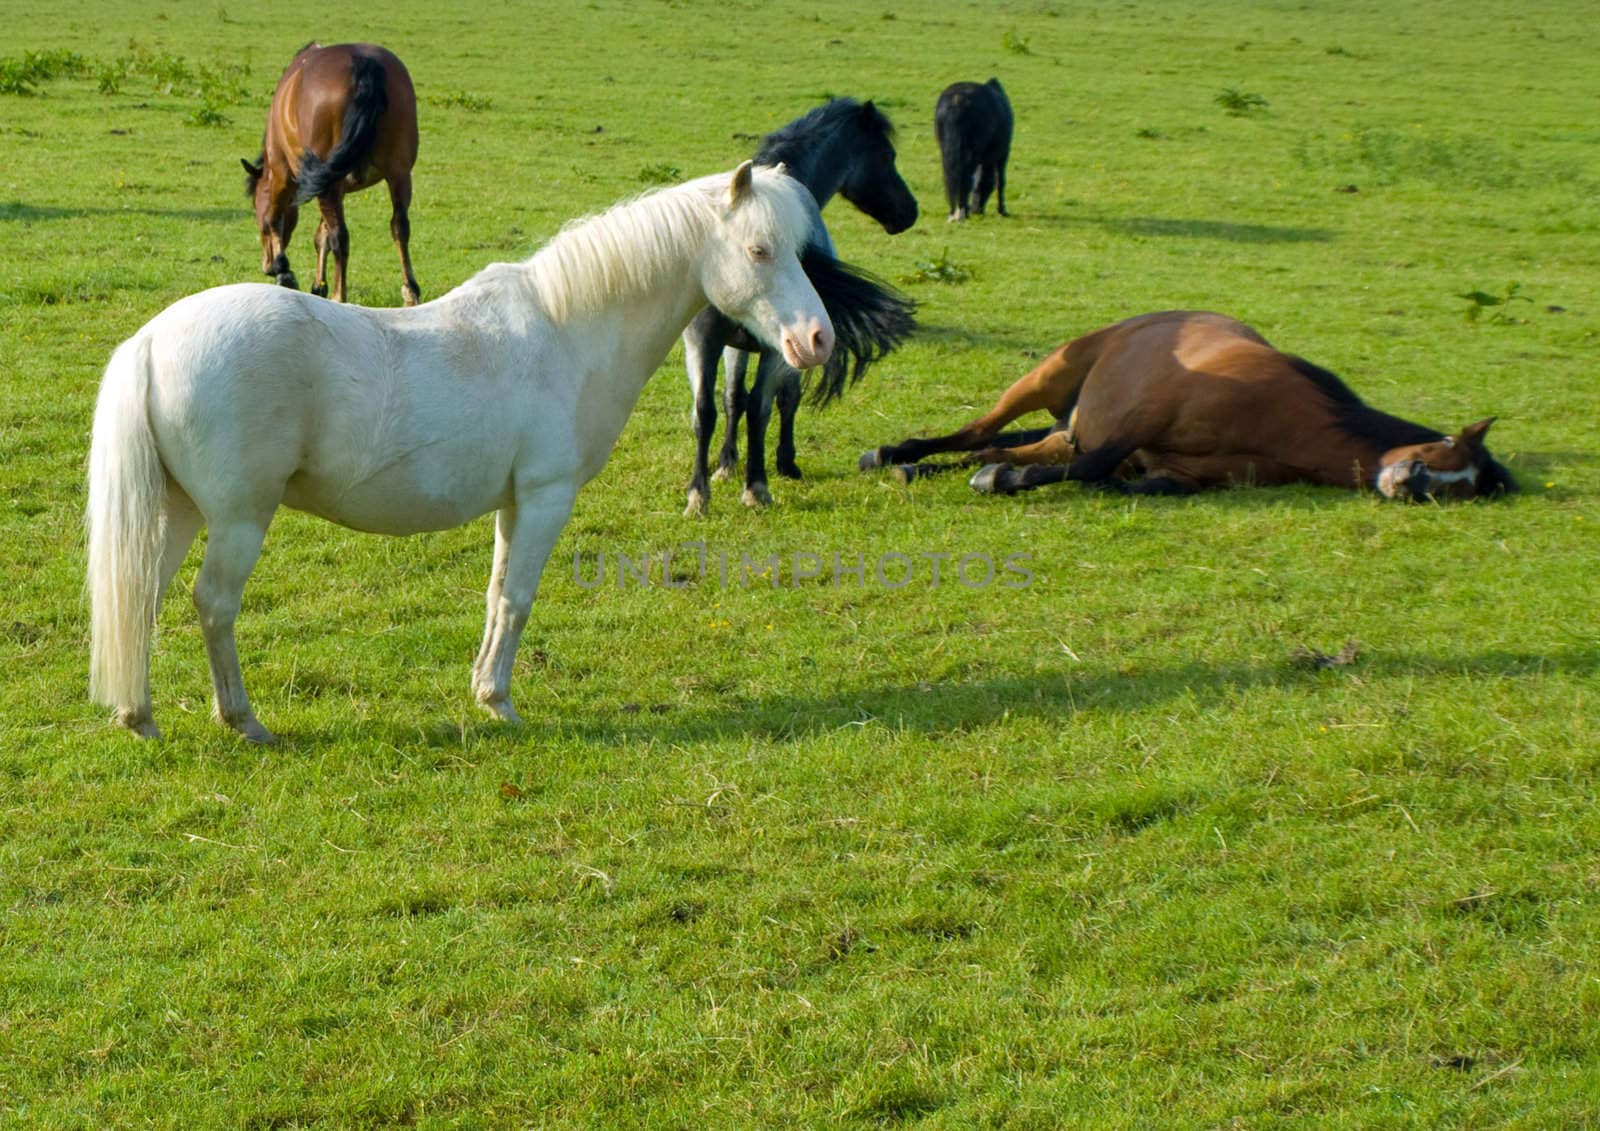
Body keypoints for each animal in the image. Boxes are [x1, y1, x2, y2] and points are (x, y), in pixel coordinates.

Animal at [87, 161, 838, 742]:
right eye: (760, 251)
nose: (817, 340)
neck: (568, 330)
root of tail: (152, 340)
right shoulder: (546, 498)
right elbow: (520, 598)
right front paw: (501, 704)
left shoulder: (514, 504)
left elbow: (496, 595)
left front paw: (484, 690)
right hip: (240, 519)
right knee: (213, 603)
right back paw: (243, 719)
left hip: (181, 511)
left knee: (142, 593)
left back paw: (139, 716)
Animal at [240, 43, 422, 305]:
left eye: (255, 208)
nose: (265, 265)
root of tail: (362, 61)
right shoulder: (333, 184)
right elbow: (321, 234)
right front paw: (318, 285)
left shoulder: (283, 174)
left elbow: (276, 218)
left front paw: (283, 270)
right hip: (398, 174)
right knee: (399, 226)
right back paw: (410, 291)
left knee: (341, 236)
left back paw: (339, 295)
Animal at [681, 99, 921, 518]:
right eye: (887, 156)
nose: (909, 212)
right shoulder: (790, 346)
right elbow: (779, 401)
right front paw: (782, 464)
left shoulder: (734, 344)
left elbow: (732, 399)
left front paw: (726, 464)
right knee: (759, 407)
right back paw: (755, 487)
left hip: (701, 342)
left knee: (705, 411)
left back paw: (700, 493)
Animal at [857, 311, 1516, 502]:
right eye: (1438, 454)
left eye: (1457, 490)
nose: (1406, 482)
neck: (1290, 422)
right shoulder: (1144, 416)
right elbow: (1095, 467)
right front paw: (1006, 482)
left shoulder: (1182, 475)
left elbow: (1128, 482)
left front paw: (1006, 477)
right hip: (1049, 377)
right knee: (979, 429)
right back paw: (894, 452)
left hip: (1062, 429)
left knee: (992, 445)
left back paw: (923, 467)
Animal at [934, 78, 1017, 222]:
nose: (977, 210)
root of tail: (957, 101)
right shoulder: (1003, 153)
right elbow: (1000, 180)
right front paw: (1002, 210)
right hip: (971, 153)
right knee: (965, 177)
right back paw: (962, 212)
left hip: (946, 150)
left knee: (950, 176)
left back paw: (954, 212)